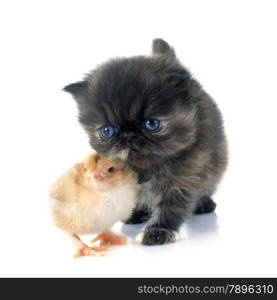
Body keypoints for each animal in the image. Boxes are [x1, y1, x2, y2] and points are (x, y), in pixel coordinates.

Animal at [64, 39, 226, 246]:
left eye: (152, 124)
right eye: (107, 131)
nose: (128, 135)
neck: (144, 167)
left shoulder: (185, 177)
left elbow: (171, 207)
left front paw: (158, 231)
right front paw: (134, 213)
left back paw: (203, 203)